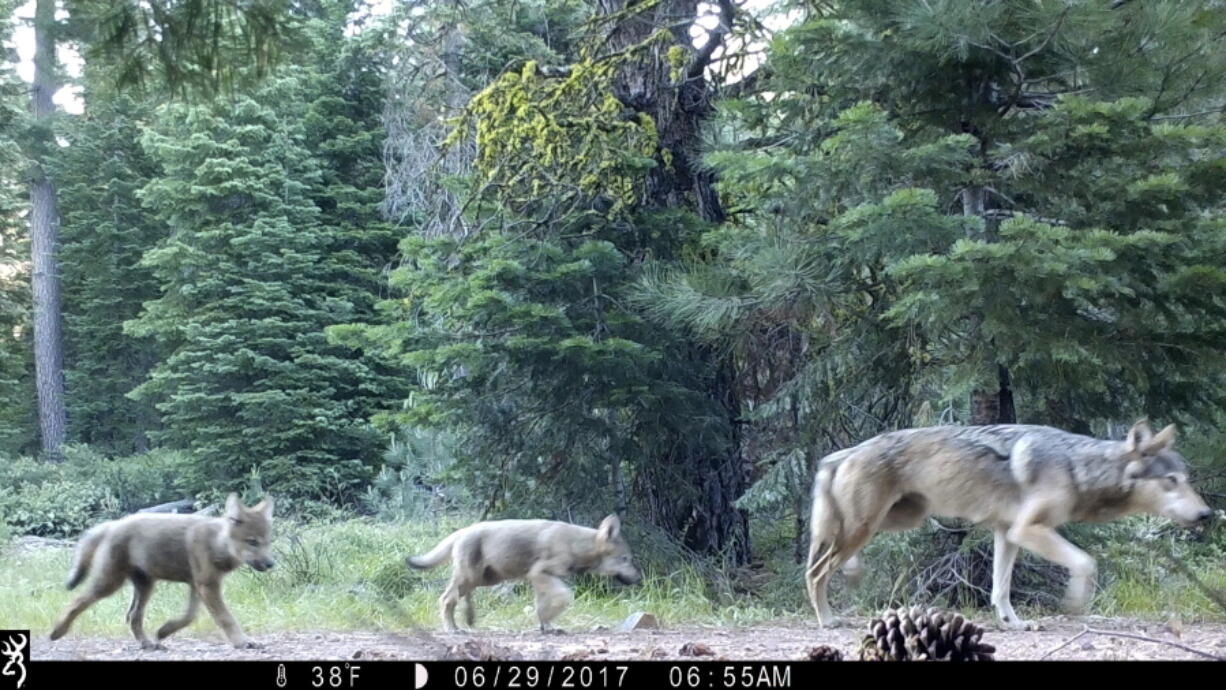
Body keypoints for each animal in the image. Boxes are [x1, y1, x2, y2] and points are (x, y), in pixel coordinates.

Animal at [48, 495, 275, 652]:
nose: (271, 563)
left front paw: (164, 631)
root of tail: (113, 524)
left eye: (267, 542)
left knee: (133, 616)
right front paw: (244, 642)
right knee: (76, 601)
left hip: (146, 586)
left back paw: (149, 644)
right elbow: (226, 618)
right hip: (109, 584)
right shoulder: (207, 586)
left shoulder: (197, 586)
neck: (216, 543)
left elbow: (189, 617)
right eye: (252, 542)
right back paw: (57, 631)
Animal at [409, 514, 642, 632]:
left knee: (461, 597)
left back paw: (469, 619)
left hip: (483, 579)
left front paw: (546, 626)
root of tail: (461, 531)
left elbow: (541, 607)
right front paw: (547, 623)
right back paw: (453, 628)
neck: (576, 545)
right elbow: (565, 596)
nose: (639, 578)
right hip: (472, 577)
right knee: (446, 599)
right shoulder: (539, 574)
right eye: (626, 559)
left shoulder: (541, 580)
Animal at [804, 424, 1216, 627]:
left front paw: (1013, 624)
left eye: (1186, 479)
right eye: (1171, 481)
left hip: (898, 520)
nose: (1207, 515)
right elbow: (1086, 562)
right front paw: (1074, 604)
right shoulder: (1027, 530)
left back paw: (851, 575)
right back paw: (827, 620)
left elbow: (1000, 590)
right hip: (867, 526)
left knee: (833, 559)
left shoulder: (1007, 533)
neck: (1078, 468)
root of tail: (842, 453)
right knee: (816, 572)